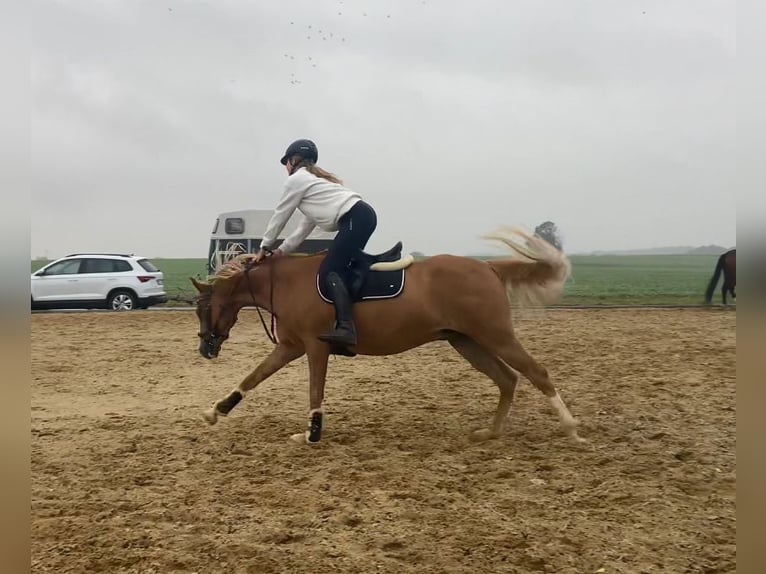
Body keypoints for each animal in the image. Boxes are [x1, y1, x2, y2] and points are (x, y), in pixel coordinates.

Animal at [192, 227, 588, 448]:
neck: (288, 282)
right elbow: (253, 377)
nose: (205, 348)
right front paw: (215, 411)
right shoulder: (291, 347)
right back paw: (489, 434)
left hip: (494, 334)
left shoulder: (315, 348)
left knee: (536, 373)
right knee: (507, 379)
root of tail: (487, 266)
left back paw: (571, 430)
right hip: (466, 341)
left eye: (203, 307)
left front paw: (312, 435)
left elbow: (315, 391)